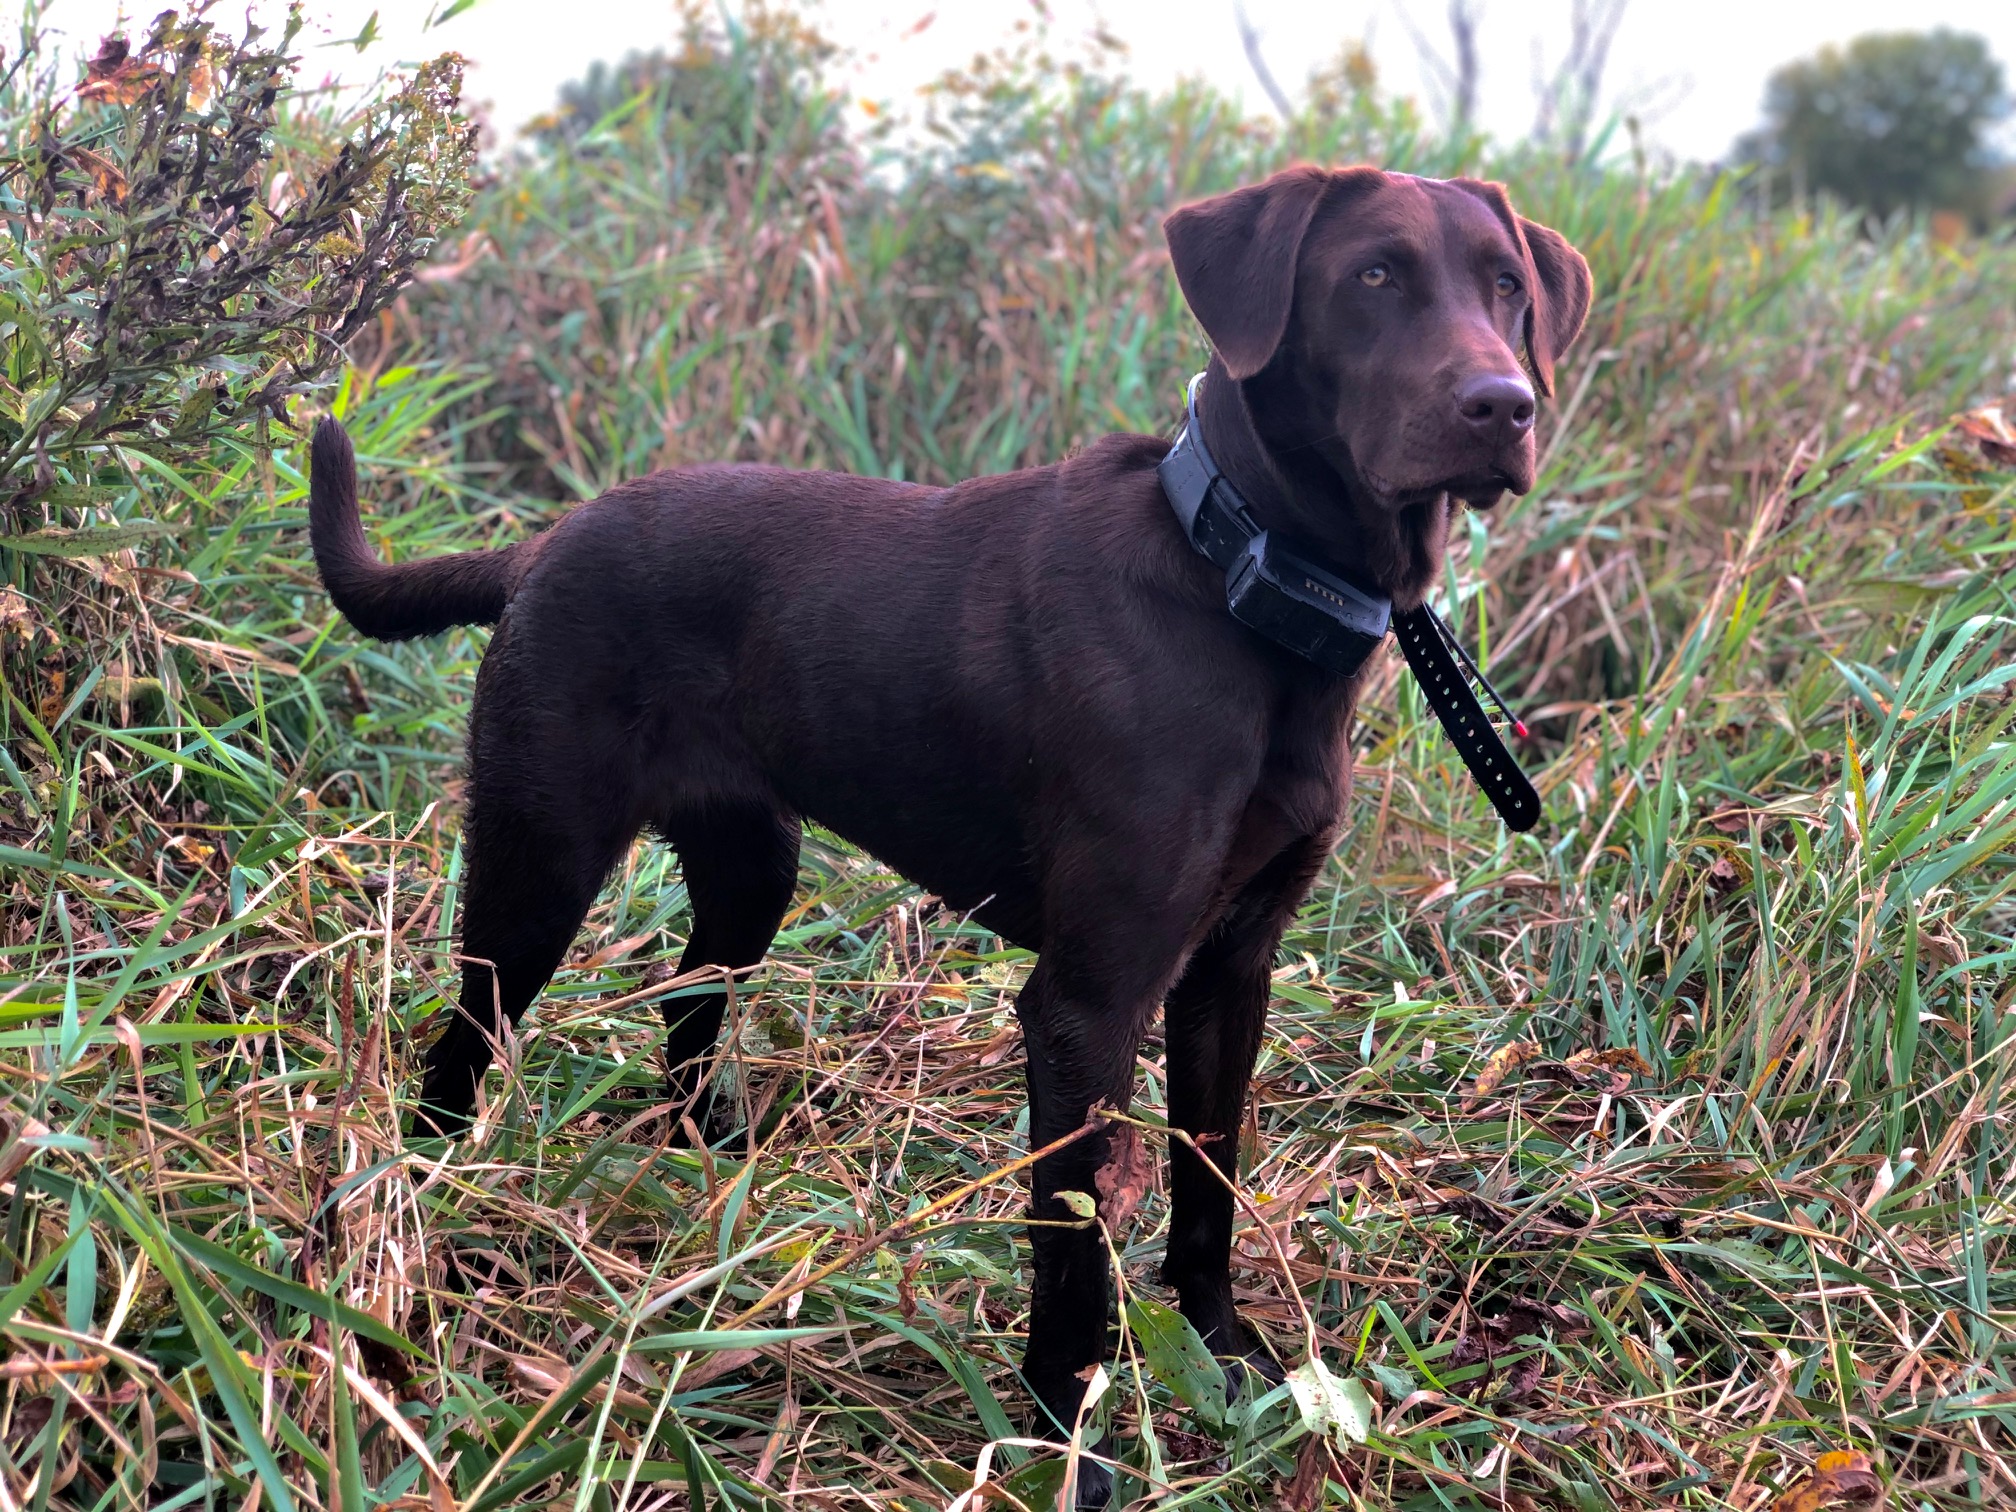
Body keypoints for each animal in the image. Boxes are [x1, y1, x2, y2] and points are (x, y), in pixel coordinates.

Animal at [310, 165, 1588, 1507]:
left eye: (1507, 285)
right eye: (1373, 277)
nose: (1502, 404)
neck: (1239, 581)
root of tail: (544, 544)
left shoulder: (1231, 970)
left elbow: (1208, 1180)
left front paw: (1228, 1356)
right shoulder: (1088, 1002)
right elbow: (1073, 1255)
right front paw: (1068, 1446)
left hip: (751, 866)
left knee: (689, 1002)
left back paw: (718, 1168)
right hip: (539, 861)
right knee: (463, 1043)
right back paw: (417, 1217)